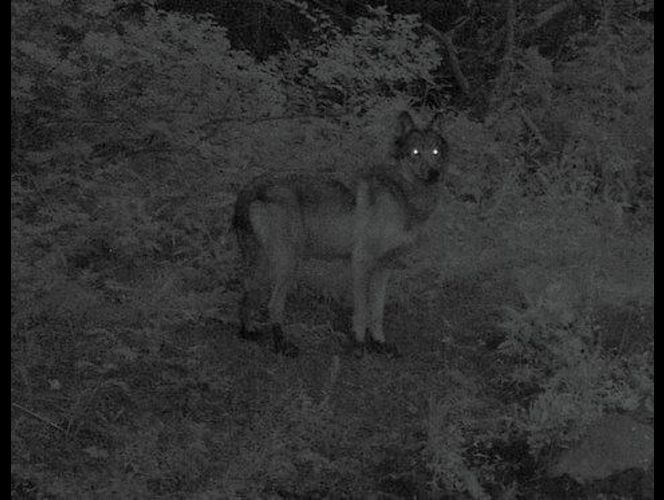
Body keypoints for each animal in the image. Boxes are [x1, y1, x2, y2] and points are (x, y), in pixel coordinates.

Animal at [232, 111, 449, 357]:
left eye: (435, 152)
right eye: (415, 153)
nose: (433, 173)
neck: (402, 195)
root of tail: (249, 188)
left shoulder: (385, 267)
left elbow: (377, 312)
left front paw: (380, 344)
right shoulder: (361, 262)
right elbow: (362, 311)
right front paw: (359, 346)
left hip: (263, 264)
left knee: (246, 294)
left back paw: (248, 333)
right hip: (289, 262)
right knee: (273, 305)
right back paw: (282, 346)